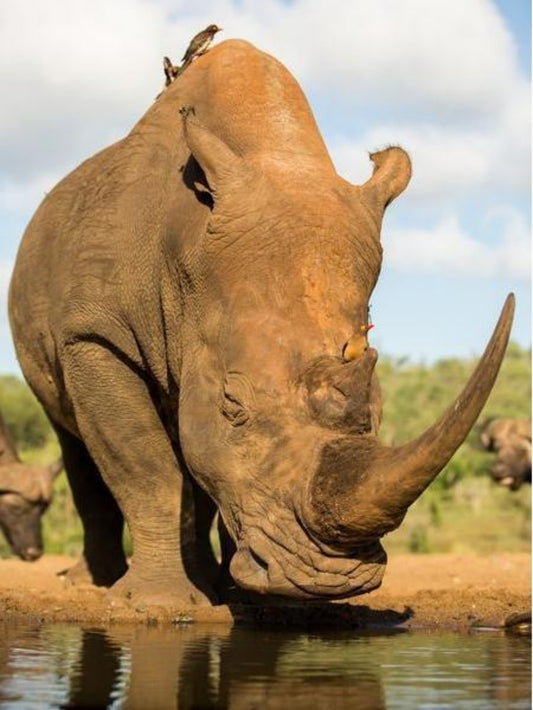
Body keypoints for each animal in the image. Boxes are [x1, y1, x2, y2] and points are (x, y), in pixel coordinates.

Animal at [9, 40, 514, 607]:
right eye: (233, 405)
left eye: (378, 408)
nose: (330, 578)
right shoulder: (95, 336)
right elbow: (146, 467)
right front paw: (159, 603)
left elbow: (201, 460)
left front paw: (250, 600)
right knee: (74, 439)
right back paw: (95, 582)